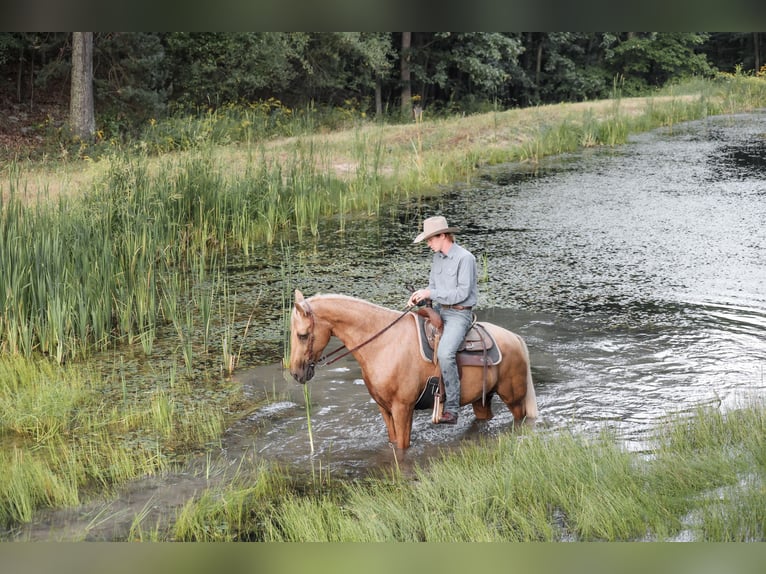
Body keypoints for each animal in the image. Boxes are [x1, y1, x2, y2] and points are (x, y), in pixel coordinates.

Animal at [288, 289, 537, 449]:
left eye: (302, 335)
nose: (296, 373)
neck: (384, 342)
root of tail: (514, 338)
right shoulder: (384, 408)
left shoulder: (403, 408)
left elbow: (402, 447)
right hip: (482, 400)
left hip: (514, 398)